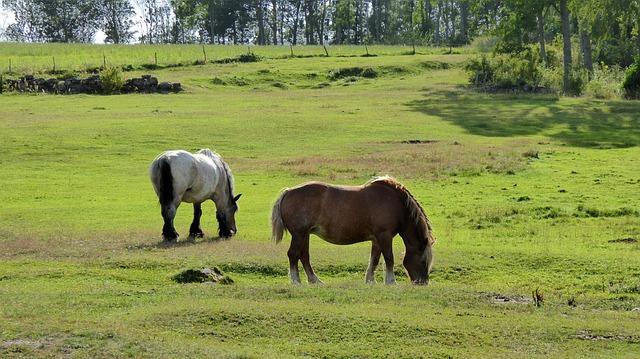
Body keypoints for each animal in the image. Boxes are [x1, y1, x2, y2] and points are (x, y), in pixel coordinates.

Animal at [270, 176, 436, 284]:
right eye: (423, 260)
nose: (423, 282)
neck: (397, 204)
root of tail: (288, 192)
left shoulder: (377, 239)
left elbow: (374, 259)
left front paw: (370, 281)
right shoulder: (385, 236)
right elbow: (389, 258)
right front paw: (390, 281)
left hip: (304, 235)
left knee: (303, 256)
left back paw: (314, 280)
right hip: (299, 234)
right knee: (293, 254)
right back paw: (296, 281)